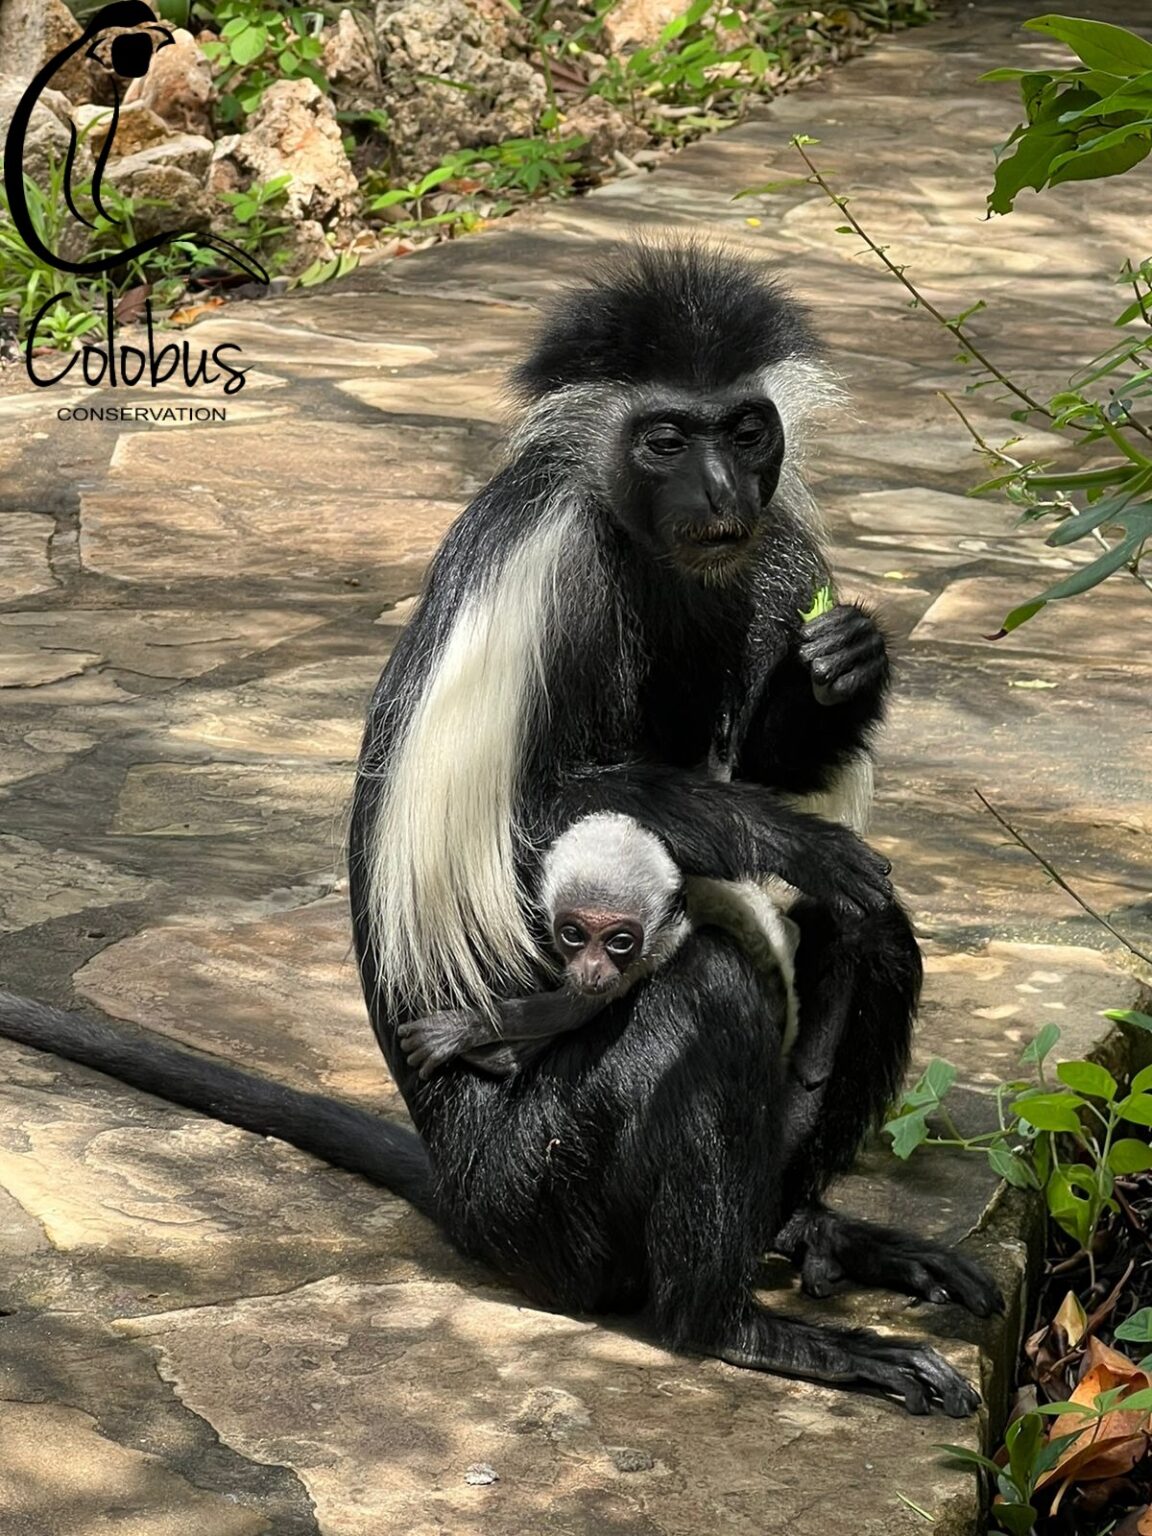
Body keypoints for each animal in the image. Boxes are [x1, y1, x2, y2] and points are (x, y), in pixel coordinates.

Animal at [396, 810, 801, 1081]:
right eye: (573, 935)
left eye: (620, 942)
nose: (591, 969)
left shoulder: (653, 949)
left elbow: (574, 1010)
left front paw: (461, 1029)